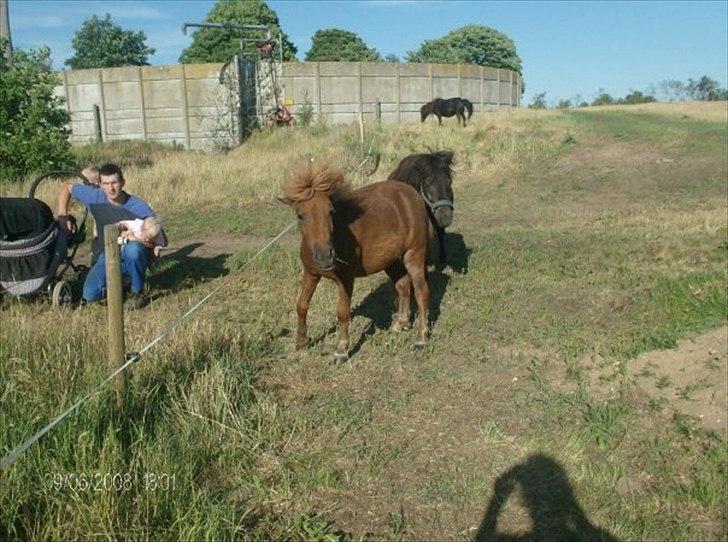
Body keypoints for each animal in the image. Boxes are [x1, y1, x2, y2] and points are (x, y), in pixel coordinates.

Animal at [280, 160, 432, 362]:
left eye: (330, 212)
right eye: (300, 215)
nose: (326, 256)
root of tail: (413, 195)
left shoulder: (346, 279)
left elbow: (342, 312)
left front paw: (341, 350)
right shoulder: (311, 273)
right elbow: (302, 305)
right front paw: (302, 341)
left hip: (414, 255)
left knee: (421, 292)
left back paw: (421, 338)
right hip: (391, 261)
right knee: (403, 286)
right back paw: (400, 323)